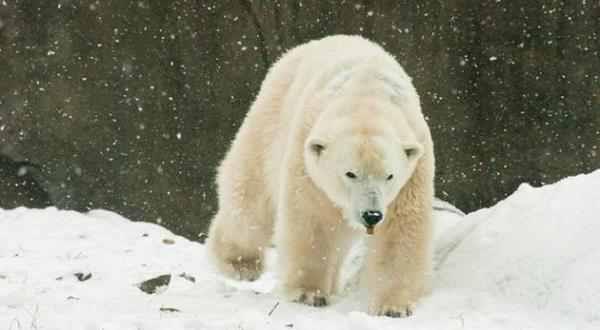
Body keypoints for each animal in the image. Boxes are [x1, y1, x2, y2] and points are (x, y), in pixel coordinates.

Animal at [206, 34, 432, 318]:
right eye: (350, 173)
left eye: (389, 176)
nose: (372, 215)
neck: (366, 96)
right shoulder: (307, 156)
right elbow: (312, 218)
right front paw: (308, 293)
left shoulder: (413, 170)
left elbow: (401, 229)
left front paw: (394, 306)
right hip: (269, 119)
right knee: (249, 199)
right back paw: (240, 263)